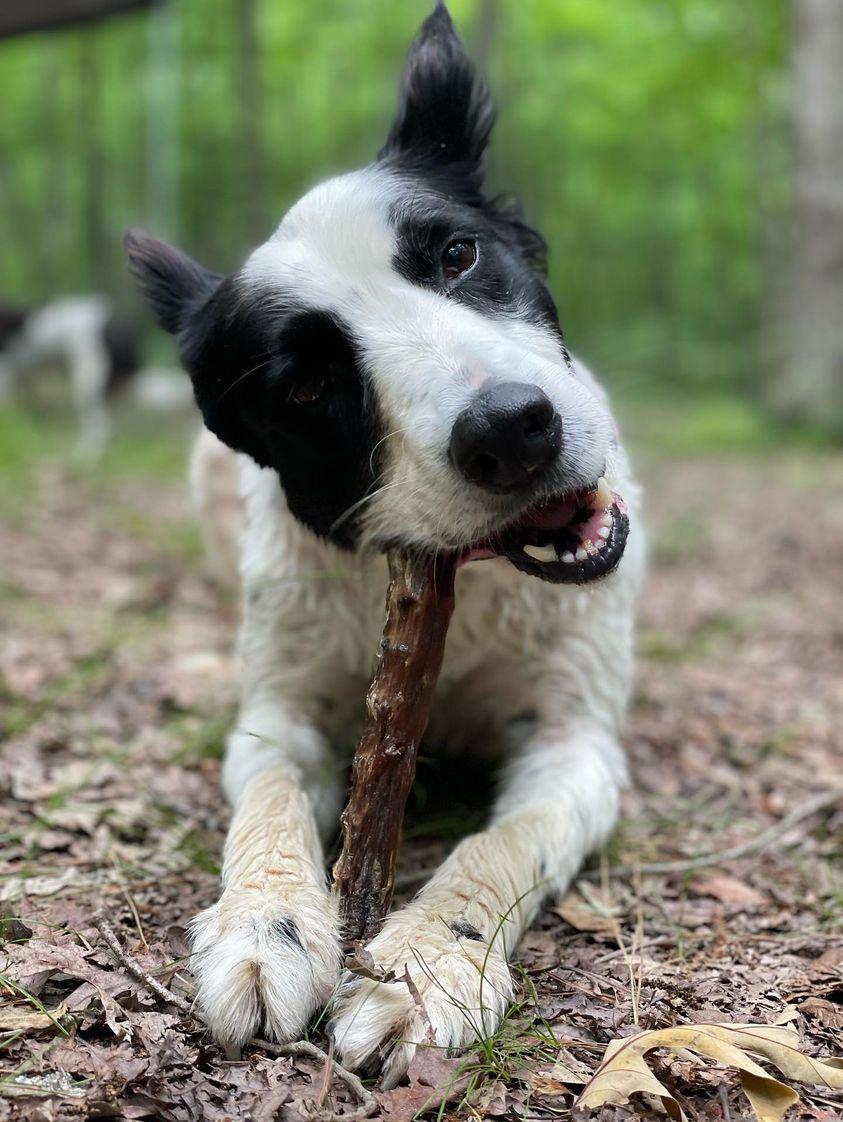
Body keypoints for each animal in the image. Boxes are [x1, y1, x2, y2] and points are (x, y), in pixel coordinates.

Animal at [125, 2, 642, 1086]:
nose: (511, 431)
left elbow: (502, 844)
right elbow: (268, 798)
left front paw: (422, 967)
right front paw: (264, 924)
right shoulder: (282, 715)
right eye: (309, 387)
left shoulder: (574, 745)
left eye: (457, 257)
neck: (470, 582)